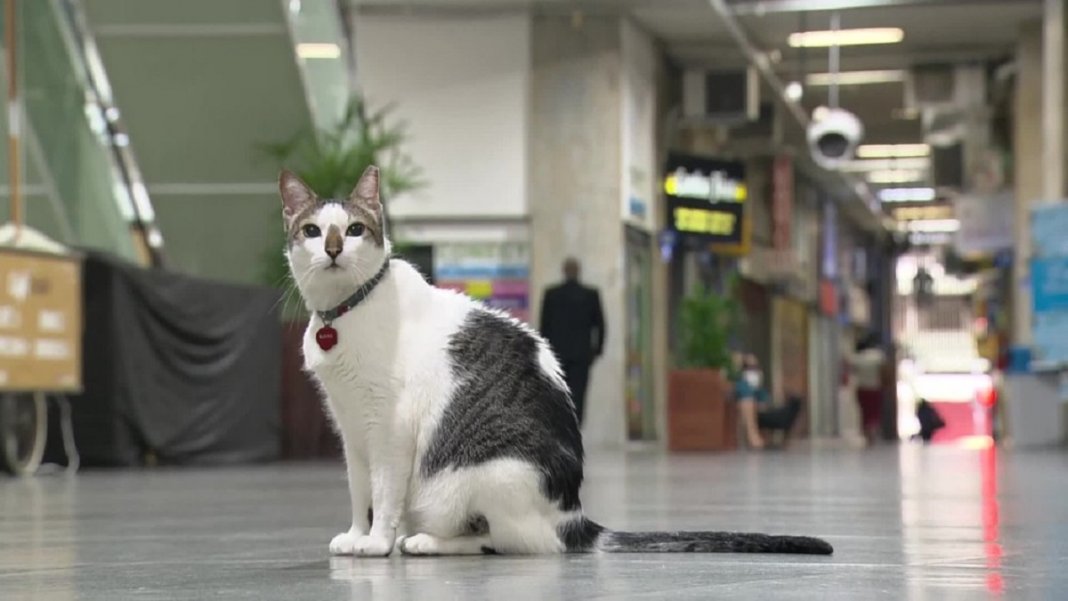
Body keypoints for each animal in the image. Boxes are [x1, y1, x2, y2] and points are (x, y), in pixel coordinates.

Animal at [279, 165, 828, 559]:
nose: (332, 249)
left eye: (354, 229)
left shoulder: (389, 430)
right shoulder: (351, 429)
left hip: (475, 478)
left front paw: (377, 542)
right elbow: (359, 490)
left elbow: (385, 492)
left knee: (503, 540)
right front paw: (357, 534)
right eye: (313, 230)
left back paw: (425, 542)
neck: (344, 313)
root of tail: (573, 516)